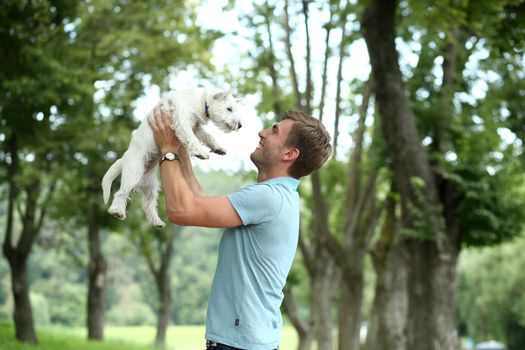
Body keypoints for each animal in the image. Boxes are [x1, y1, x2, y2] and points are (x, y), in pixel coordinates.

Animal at [100, 88, 242, 227]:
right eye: (229, 109)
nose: (240, 125)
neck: (201, 100)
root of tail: (124, 159)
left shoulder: (196, 127)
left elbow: (207, 136)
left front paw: (218, 148)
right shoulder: (183, 121)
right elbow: (192, 137)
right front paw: (200, 152)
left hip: (151, 187)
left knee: (148, 205)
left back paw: (157, 222)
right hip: (132, 174)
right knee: (121, 193)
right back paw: (117, 211)